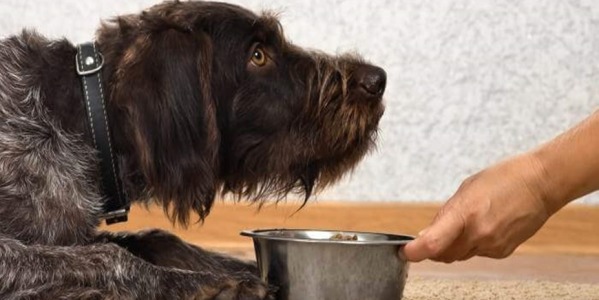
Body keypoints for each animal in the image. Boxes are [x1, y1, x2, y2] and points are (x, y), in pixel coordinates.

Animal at [0, 1, 386, 298]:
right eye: (258, 55)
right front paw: (208, 283)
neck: (86, 119)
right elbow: (109, 256)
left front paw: (240, 266)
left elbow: (158, 238)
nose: (377, 79)